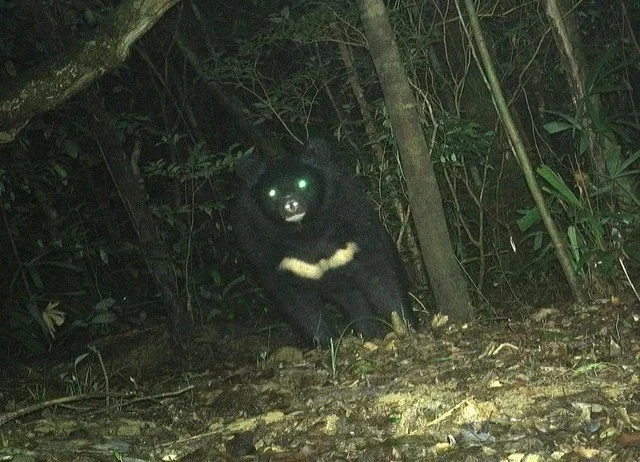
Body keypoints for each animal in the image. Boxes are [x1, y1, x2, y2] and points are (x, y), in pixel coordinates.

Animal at [232, 139, 415, 346]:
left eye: (303, 183)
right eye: (271, 192)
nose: (291, 204)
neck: (305, 231)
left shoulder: (354, 227)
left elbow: (380, 277)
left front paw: (405, 327)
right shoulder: (269, 252)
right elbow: (298, 302)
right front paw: (328, 341)